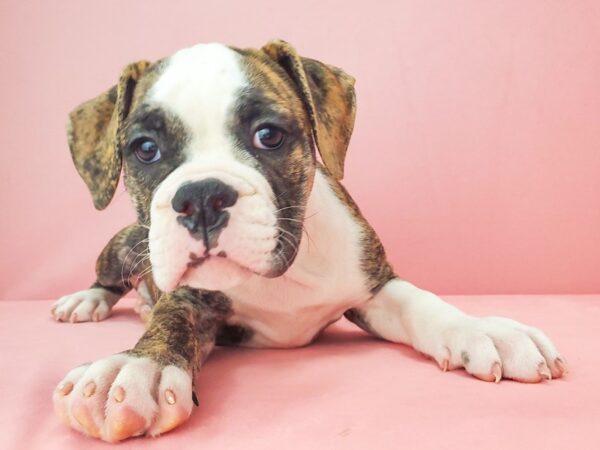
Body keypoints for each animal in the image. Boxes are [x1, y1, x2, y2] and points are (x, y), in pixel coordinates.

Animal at [51, 39, 568, 442]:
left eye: (269, 136)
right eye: (145, 149)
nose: (201, 197)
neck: (285, 270)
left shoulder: (375, 286)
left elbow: (422, 303)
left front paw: (482, 329)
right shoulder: (188, 298)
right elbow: (170, 322)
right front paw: (138, 367)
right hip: (121, 246)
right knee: (110, 280)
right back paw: (88, 301)